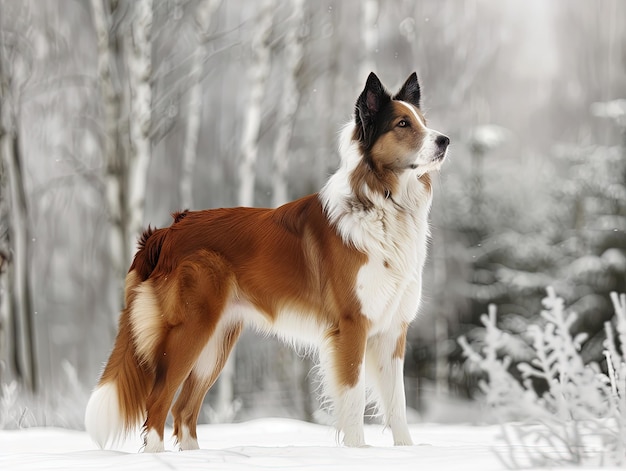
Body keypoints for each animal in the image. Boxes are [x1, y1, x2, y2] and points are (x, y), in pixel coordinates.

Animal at [85, 72, 448, 452]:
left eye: (422, 121)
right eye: (403, 124)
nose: (445, 140)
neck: (384, 203)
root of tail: (168, 229)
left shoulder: (393, 330)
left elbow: (398, 404)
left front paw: (405, 451)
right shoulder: (351, 326)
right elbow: (354, 398)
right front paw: (357, 452)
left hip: (217, 341)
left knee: (184, 409)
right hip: (191, 330)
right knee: (158, 402)